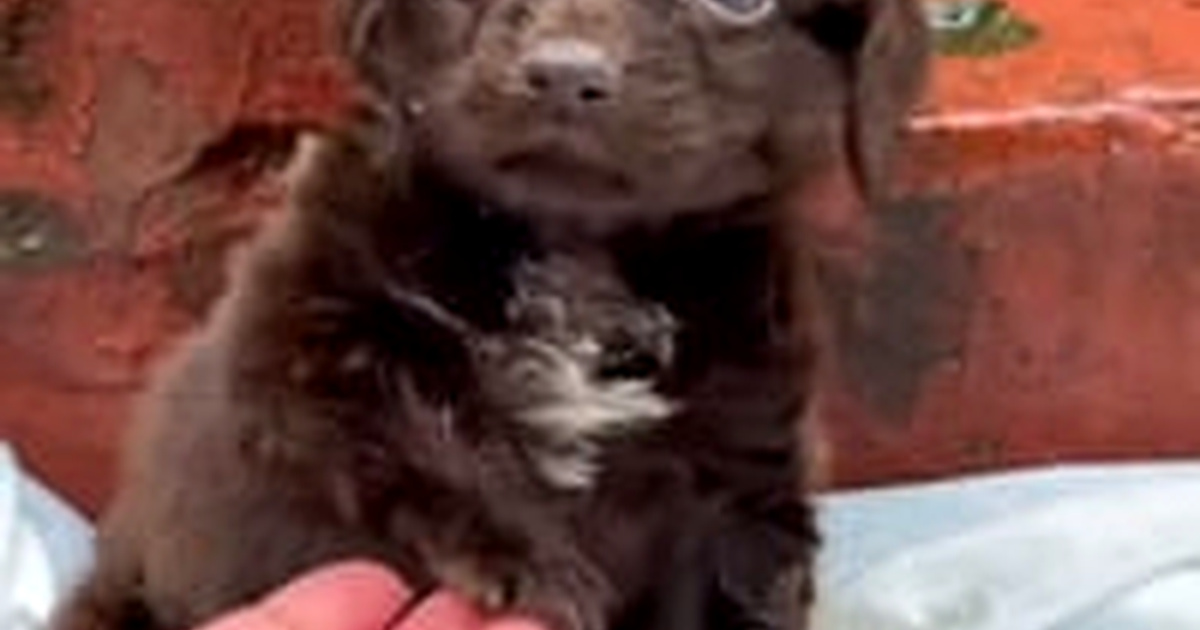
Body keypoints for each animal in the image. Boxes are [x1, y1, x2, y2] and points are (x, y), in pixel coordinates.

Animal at [50, 1, 928, 629]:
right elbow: (415, 433)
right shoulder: (302, 343)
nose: (565, 73)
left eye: (740, 3)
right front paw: (533, 564)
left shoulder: (739, 472)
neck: (574, 253)